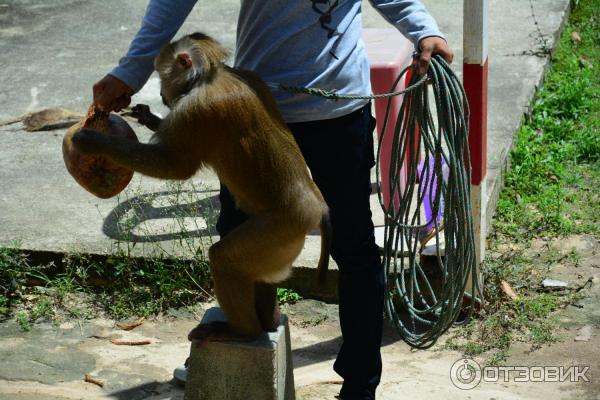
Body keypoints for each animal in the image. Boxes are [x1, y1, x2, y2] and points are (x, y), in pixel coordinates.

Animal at [73, 32, 332, 342]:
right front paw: (147, 117)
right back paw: (269, 320)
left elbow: (176, 167)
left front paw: (95, 142)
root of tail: (317, 206)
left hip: (282, 229)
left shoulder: (193, 109)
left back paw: (243, 332)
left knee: (224, 259)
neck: (210, 76)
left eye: (161, 74)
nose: (162, 93)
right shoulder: (252, 78)